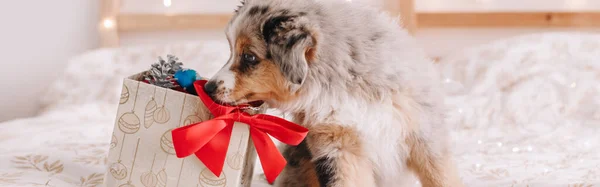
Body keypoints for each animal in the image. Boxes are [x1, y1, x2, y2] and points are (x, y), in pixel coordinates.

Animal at [205, 0, 464, 186]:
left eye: (249, 57)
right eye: (231, 52)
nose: (208, 88)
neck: (344, 84)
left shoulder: (426, 137)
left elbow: (441, 178)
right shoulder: (339, 149)